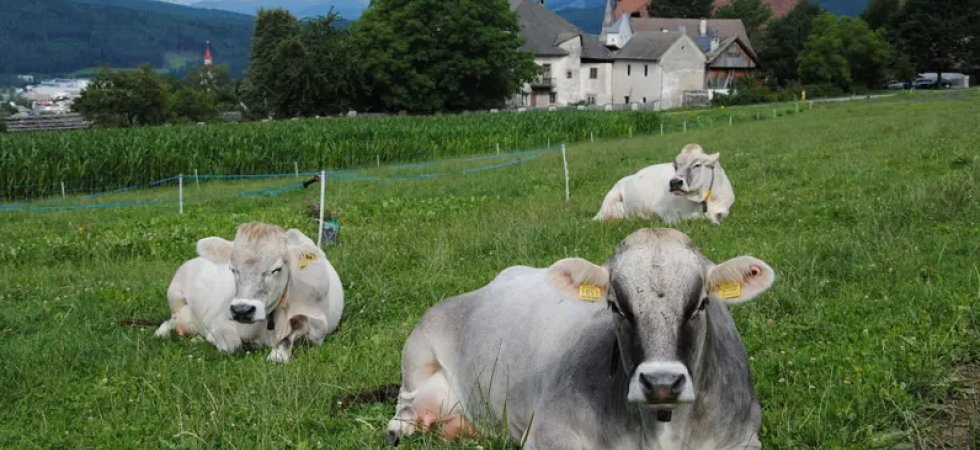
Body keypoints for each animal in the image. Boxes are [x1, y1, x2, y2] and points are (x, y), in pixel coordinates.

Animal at [154, 222, 344, 364]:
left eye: (276, 269)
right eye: (233, 269)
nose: (242, 310)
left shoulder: (320, 324)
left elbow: (300, 321)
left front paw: (279, 354)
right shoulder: (221, 319)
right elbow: (230, 344)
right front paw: (210, 338)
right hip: (175, 298)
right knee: (171, 320)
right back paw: (162, 333)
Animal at [385, 228, 775, 449]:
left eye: (701, 303)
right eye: (615, 305)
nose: (662, 382)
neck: (660, 429)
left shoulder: (744, 438)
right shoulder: (547, 431)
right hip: (417, 352)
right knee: (403, 405)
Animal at [593, 144, 734, 224]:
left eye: (697, 165)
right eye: (675, 166)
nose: (674, 182)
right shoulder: (662, 209)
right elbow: (677, 220)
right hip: (610, 201)